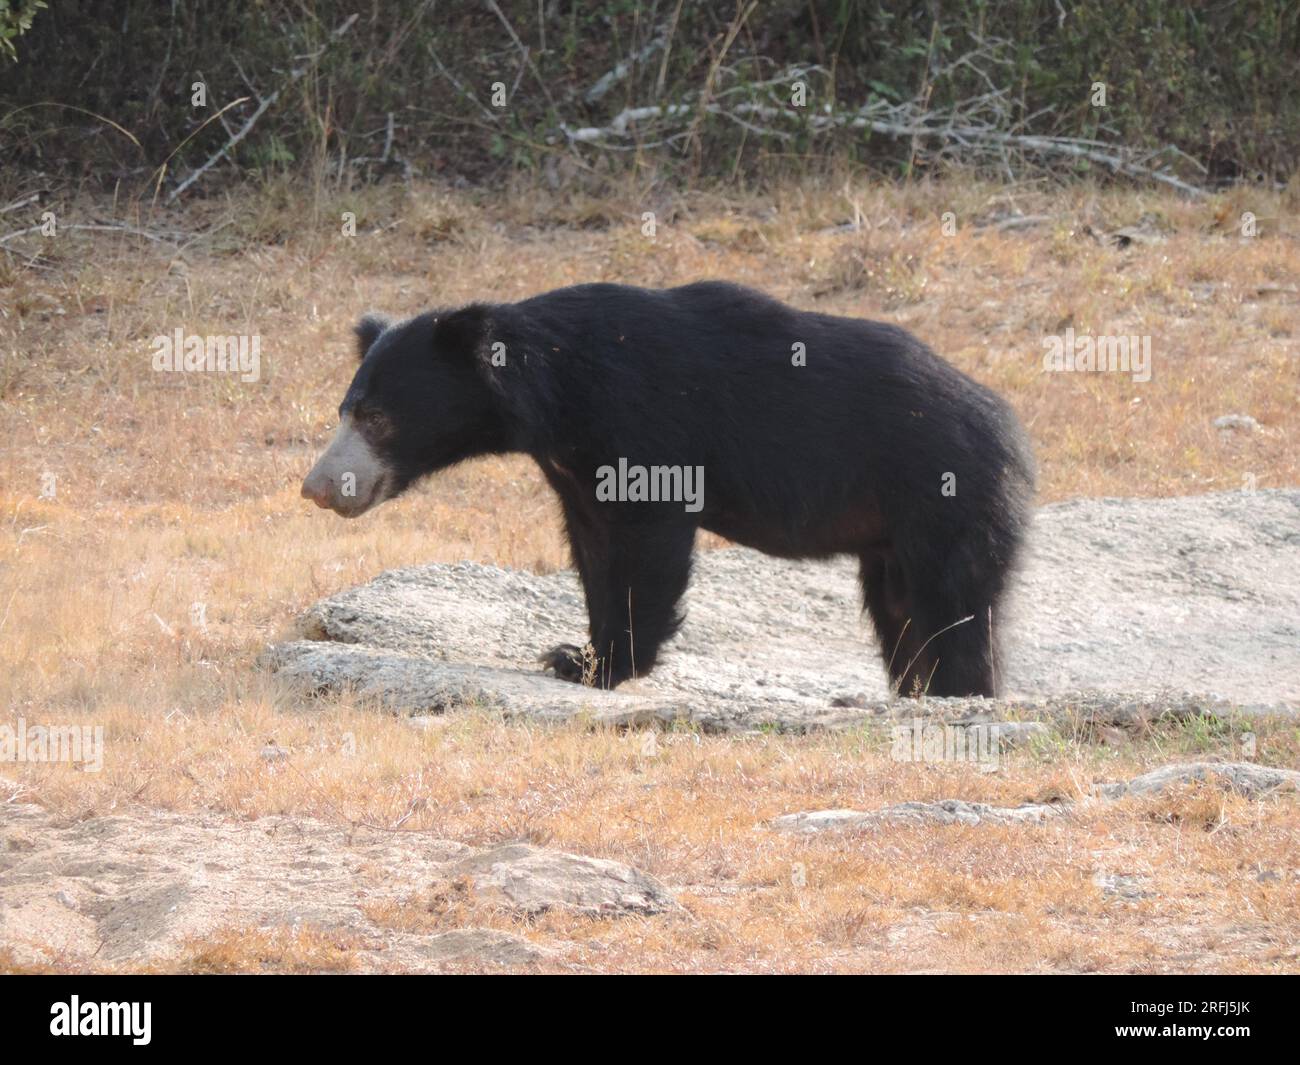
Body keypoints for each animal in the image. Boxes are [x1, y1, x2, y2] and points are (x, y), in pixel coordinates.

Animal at [301, 281, 1035, 698]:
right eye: (345, 409)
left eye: (376, 418)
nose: (317, 487)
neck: (554, 395)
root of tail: (1004, 421)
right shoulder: (573, 464)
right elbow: (594, 547)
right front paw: (580, 653)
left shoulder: (643, 419)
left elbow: (645, 541)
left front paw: (604, 663)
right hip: (891, 530)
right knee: (902, 609)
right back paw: (918, 687)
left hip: (941, 495)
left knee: (953, 601)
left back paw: (959, 690)